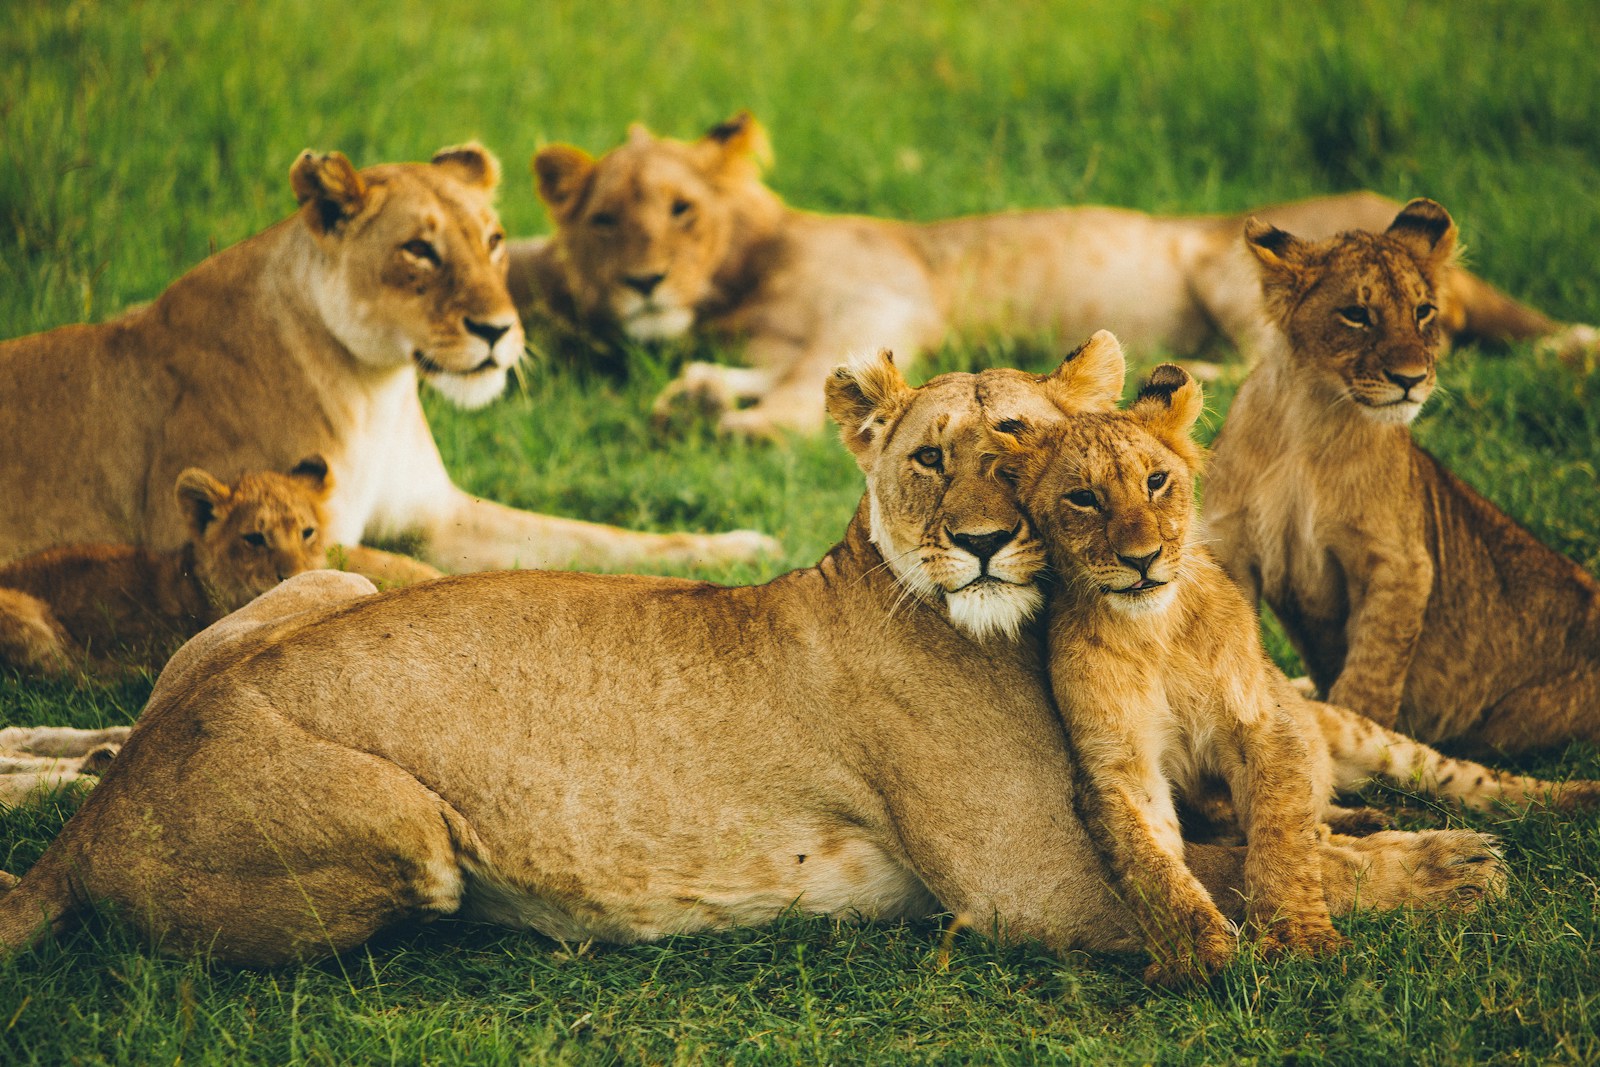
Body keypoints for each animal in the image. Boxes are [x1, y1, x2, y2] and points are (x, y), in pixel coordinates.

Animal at [0, 144, 776, 574]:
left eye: (494, 240)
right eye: (419, 250)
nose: (498, 330)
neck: (377, 389)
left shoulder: (442, 516)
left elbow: (597, 537)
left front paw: (739, 547)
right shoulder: (240, 534)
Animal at [0, 343, 1503, 970]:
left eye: (1020, 444)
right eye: (929, 459)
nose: (978, 542)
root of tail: (97, 819)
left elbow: (1263, 828)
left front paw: (1377, 823)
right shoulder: (1032, 887)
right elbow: (1226, 872)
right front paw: (1450, 863)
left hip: (317, 575)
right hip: (409, 830)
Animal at [511, 111, 1598, 439]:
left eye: (680, 211)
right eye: (605, 220)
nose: (644, 282)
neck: (737, 281)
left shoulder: (881, 299)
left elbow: (800, 391)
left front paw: (734, 423)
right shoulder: (793, 335)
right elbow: (776, 372)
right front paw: (697, 392)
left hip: (1226, 263)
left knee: (1273, 365)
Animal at [997, 339, 1596, 984]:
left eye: (1156, 481)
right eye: (1083, 498)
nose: (1143, 559)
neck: (1152, 632)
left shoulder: (1263, 724)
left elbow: (1280, 837)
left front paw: (1297, 937)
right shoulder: (1117, 768)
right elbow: (1152, 866)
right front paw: (1194, 954)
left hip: (1365, 734)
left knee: (1472, 780)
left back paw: (1573, 799)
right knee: (1320, 815)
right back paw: (1371, 823)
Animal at [1205, 199, 1600, 756]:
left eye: (1423, 311)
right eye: (1356, 314)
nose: (1411, 379)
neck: (1308, 420)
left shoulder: (1400, 562)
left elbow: (1371, 673)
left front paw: (1359, 745)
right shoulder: (1231, 547)